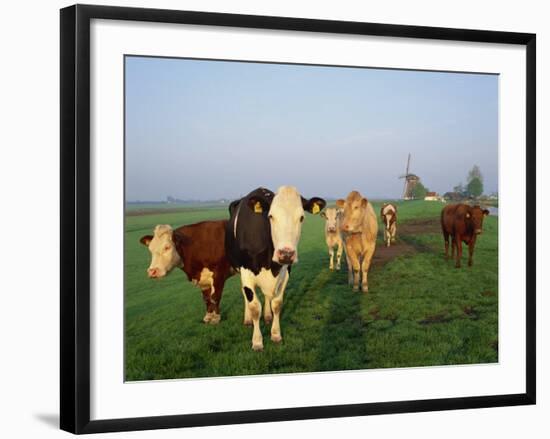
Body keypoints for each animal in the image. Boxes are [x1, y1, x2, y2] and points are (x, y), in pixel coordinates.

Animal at [225, 187, 328, 352]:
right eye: (271, 216)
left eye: (301, 217)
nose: (286, 254)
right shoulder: (246, 272)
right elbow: (255, 307)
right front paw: (257, 341)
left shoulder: (285, 272)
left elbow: (277, 304)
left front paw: (275, 334)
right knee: (245, 294)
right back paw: (247, 319)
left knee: (268, 296)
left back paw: (267, 316)